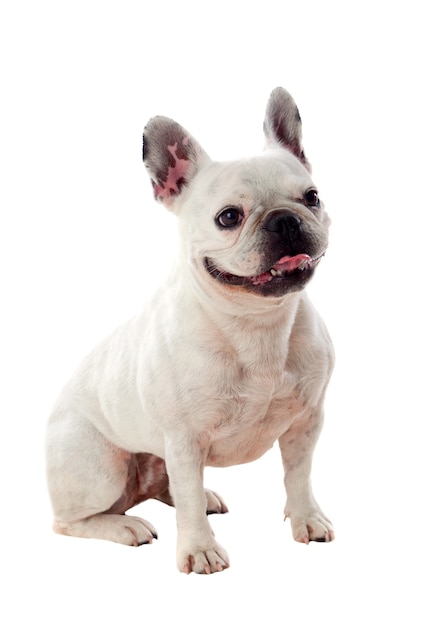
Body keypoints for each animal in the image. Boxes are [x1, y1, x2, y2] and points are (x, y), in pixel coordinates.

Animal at [46, 85, 334, 572]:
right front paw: (200, 549)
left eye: (312, 197)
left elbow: (299, 475)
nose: (285, 219)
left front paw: (306, 518)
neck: (256, 322)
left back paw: (204, 496)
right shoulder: (184, 440)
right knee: (73, 521)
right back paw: (125, 526)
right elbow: (189, 503)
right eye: (228, 217)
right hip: (102, 468)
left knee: (174, 490)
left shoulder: (305, 422)